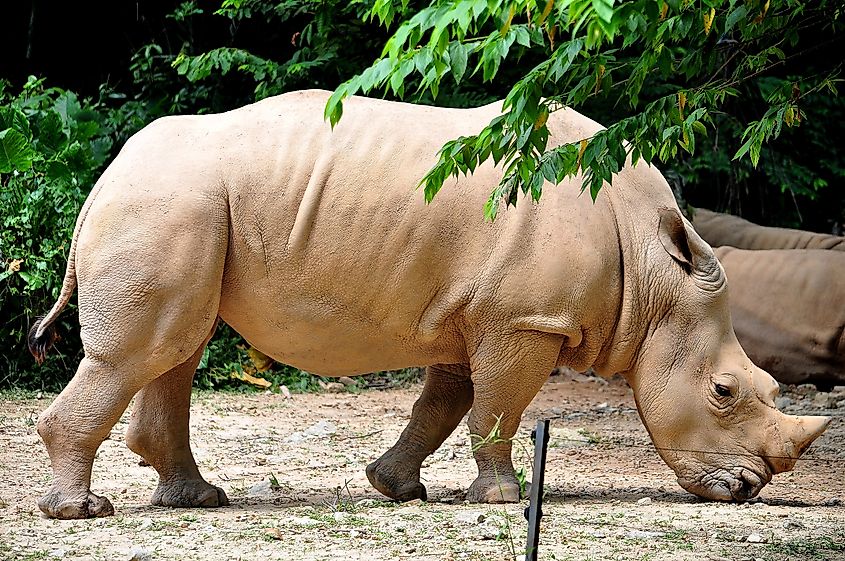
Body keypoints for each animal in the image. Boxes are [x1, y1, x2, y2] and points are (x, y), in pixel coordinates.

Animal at [29, 90, 829, 519]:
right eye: (723, 391)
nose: (749, 488)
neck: (655, 275)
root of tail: (104, 177)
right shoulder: (522, 318)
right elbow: (499, 407)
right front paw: (502, 498)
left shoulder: (478, 315)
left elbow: (446, 403)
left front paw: (395, 486)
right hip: (168, 201)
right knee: (146, 350)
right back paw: (83, 513)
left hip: (180, 205)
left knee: (177, 345)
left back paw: (198, 500)